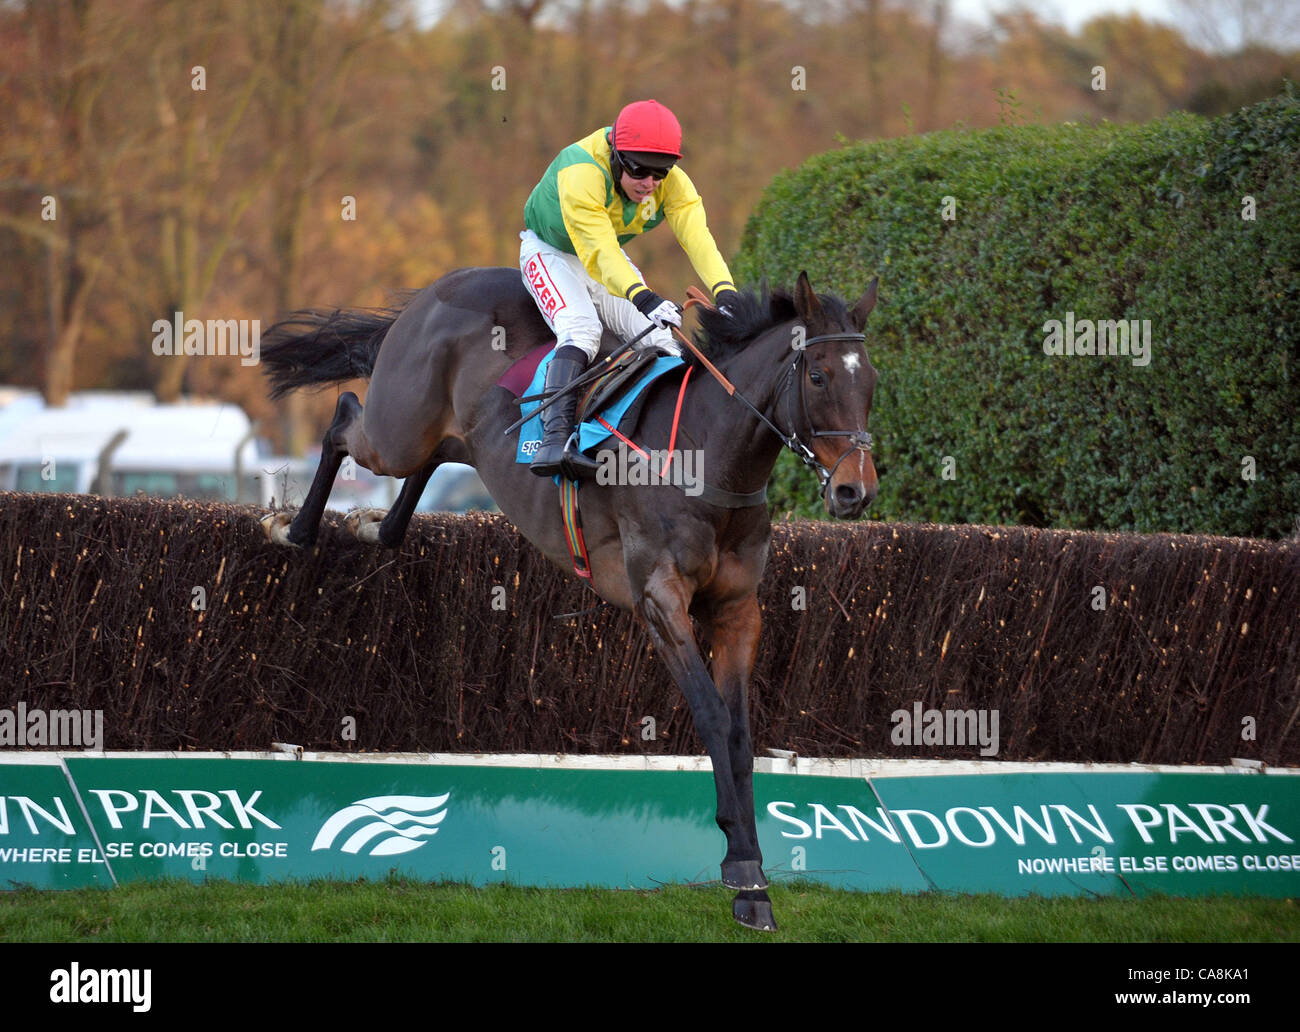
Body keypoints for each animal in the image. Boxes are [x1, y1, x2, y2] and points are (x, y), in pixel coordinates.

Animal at [257, 263, 878, 925]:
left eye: (871, 381)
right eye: (818, 376)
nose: (855, 491)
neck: (707, 455)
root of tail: (449, 282)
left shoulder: (739, 612)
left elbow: (739, 733)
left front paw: (755, 878)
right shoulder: (659, 600)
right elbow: (711, 714)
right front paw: (739, 869)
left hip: (452, 438)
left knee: (424, 464)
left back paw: (374, 524)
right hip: (395, 429)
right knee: (345, 419)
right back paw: (292, 527)